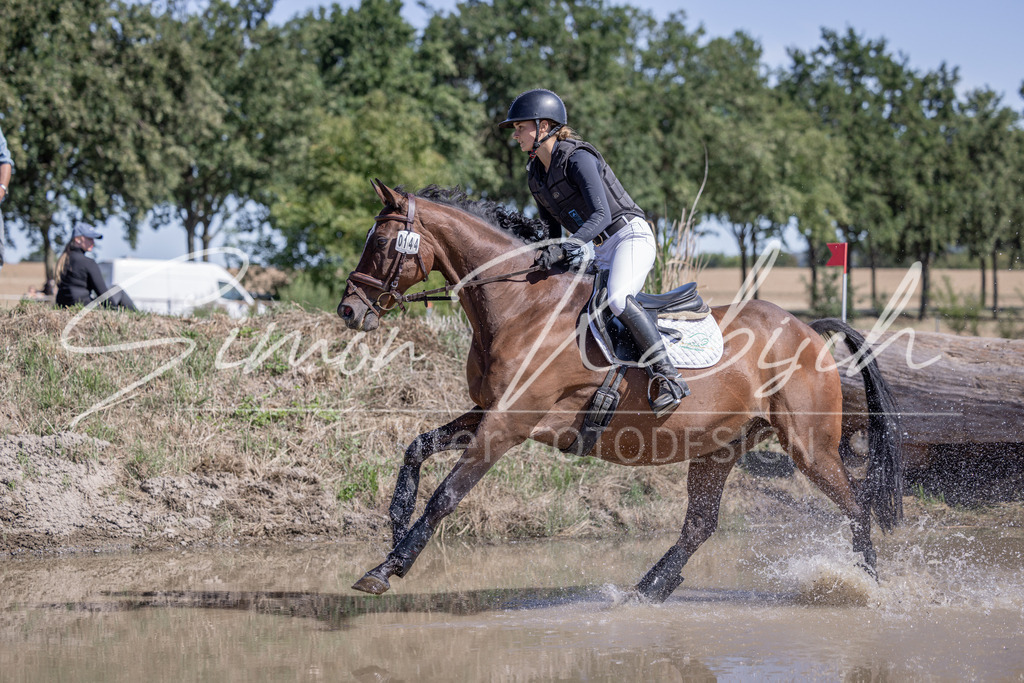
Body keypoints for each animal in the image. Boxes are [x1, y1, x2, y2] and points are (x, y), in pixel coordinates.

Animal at [338, 180, 903, 603]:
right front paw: (393, 533)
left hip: (809, 447)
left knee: (857, 508)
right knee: (700, 525)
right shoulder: (487, 412)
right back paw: (648, 589)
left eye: (382, 243)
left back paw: (870, 588)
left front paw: (389, 567)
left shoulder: (508, 424)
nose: (349, 310)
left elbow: (447, 495)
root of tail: (808, 330)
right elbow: (416, 450)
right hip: (719, 447)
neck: (521, 306)